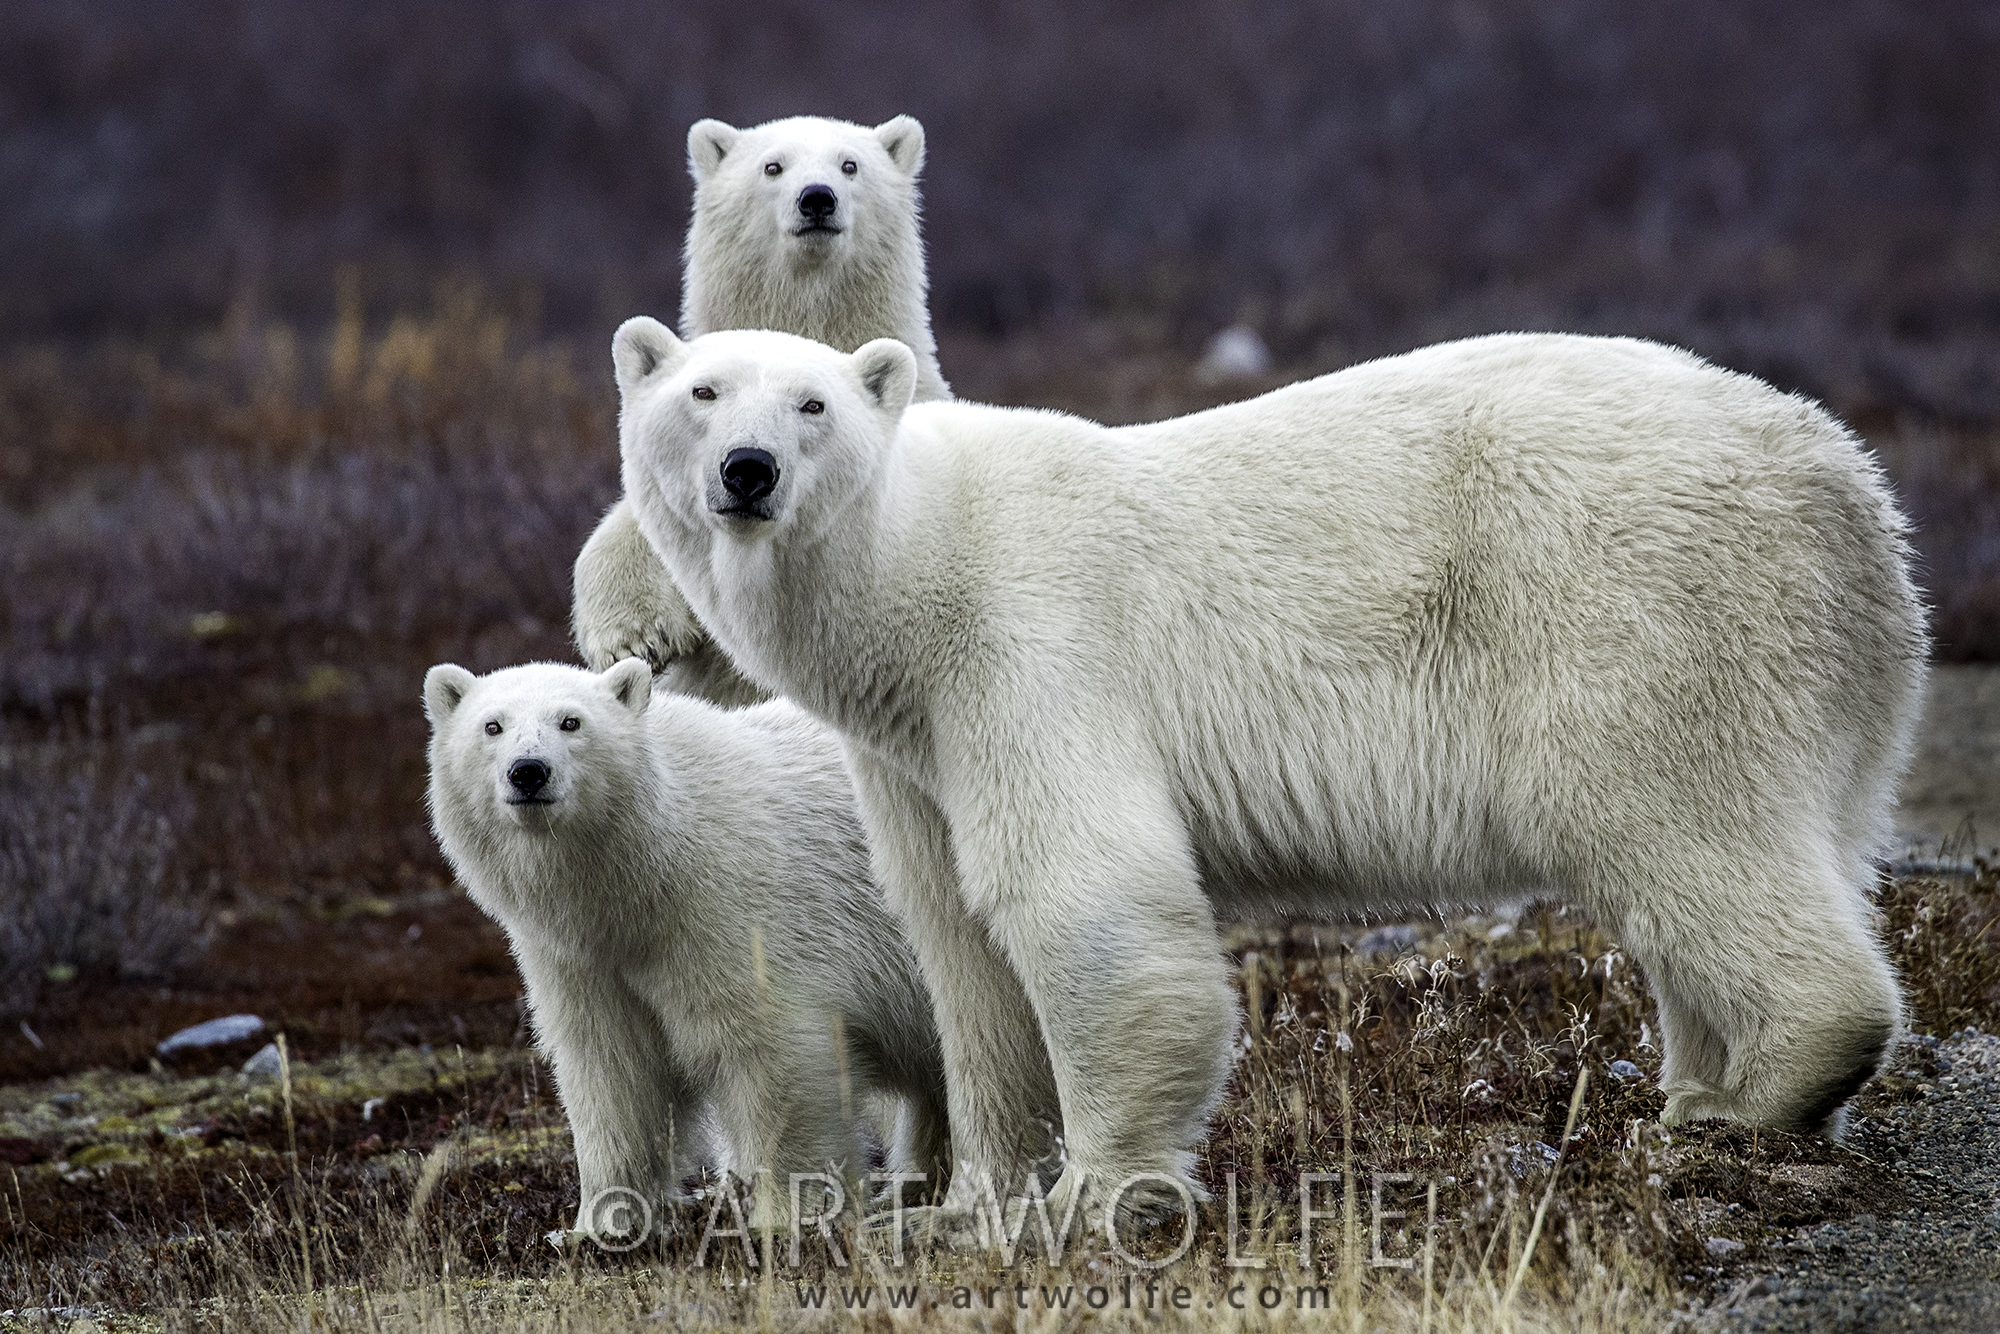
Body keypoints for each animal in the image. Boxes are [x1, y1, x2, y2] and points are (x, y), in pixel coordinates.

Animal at [424, 656, 952, 1232]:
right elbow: (612, 1070)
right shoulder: (577, 958)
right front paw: (598, 1223)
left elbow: (773, 1049)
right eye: (492, 726)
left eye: (571, 721)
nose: (528, 771)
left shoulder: (731, 912)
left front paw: (788, 1214)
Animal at [608, 324, 1920, 1232]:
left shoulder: (1027, 645)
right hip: (1829, 671)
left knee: (1674, 825)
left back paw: (1755, 1095)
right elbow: (956, 938)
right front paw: (968, 1201)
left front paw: (1096, 1194)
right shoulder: (913, 750)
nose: (747, 470)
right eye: (701, 392)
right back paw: (1698, 1089)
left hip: (1638, 608)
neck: (913, 575)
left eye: (812, 402)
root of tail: (1841, 475)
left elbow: (1080, 896)